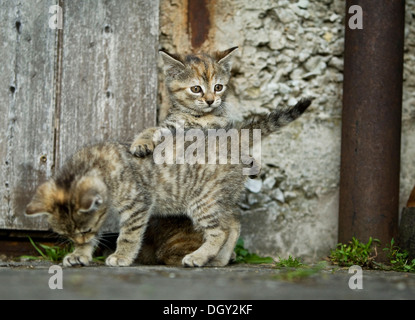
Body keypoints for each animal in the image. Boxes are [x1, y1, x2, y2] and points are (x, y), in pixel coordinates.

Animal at [26, 99, 312, 266]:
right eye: (67, 234)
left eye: (84, 230)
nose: (79, 241)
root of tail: (229, 140)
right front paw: (80, 255)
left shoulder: (137, 205)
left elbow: (129, 236)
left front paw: (121, 256)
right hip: (221, 197)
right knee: (233, 224)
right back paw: (219, 259)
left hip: (203, 201)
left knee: (220, 230)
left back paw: (198, 257)